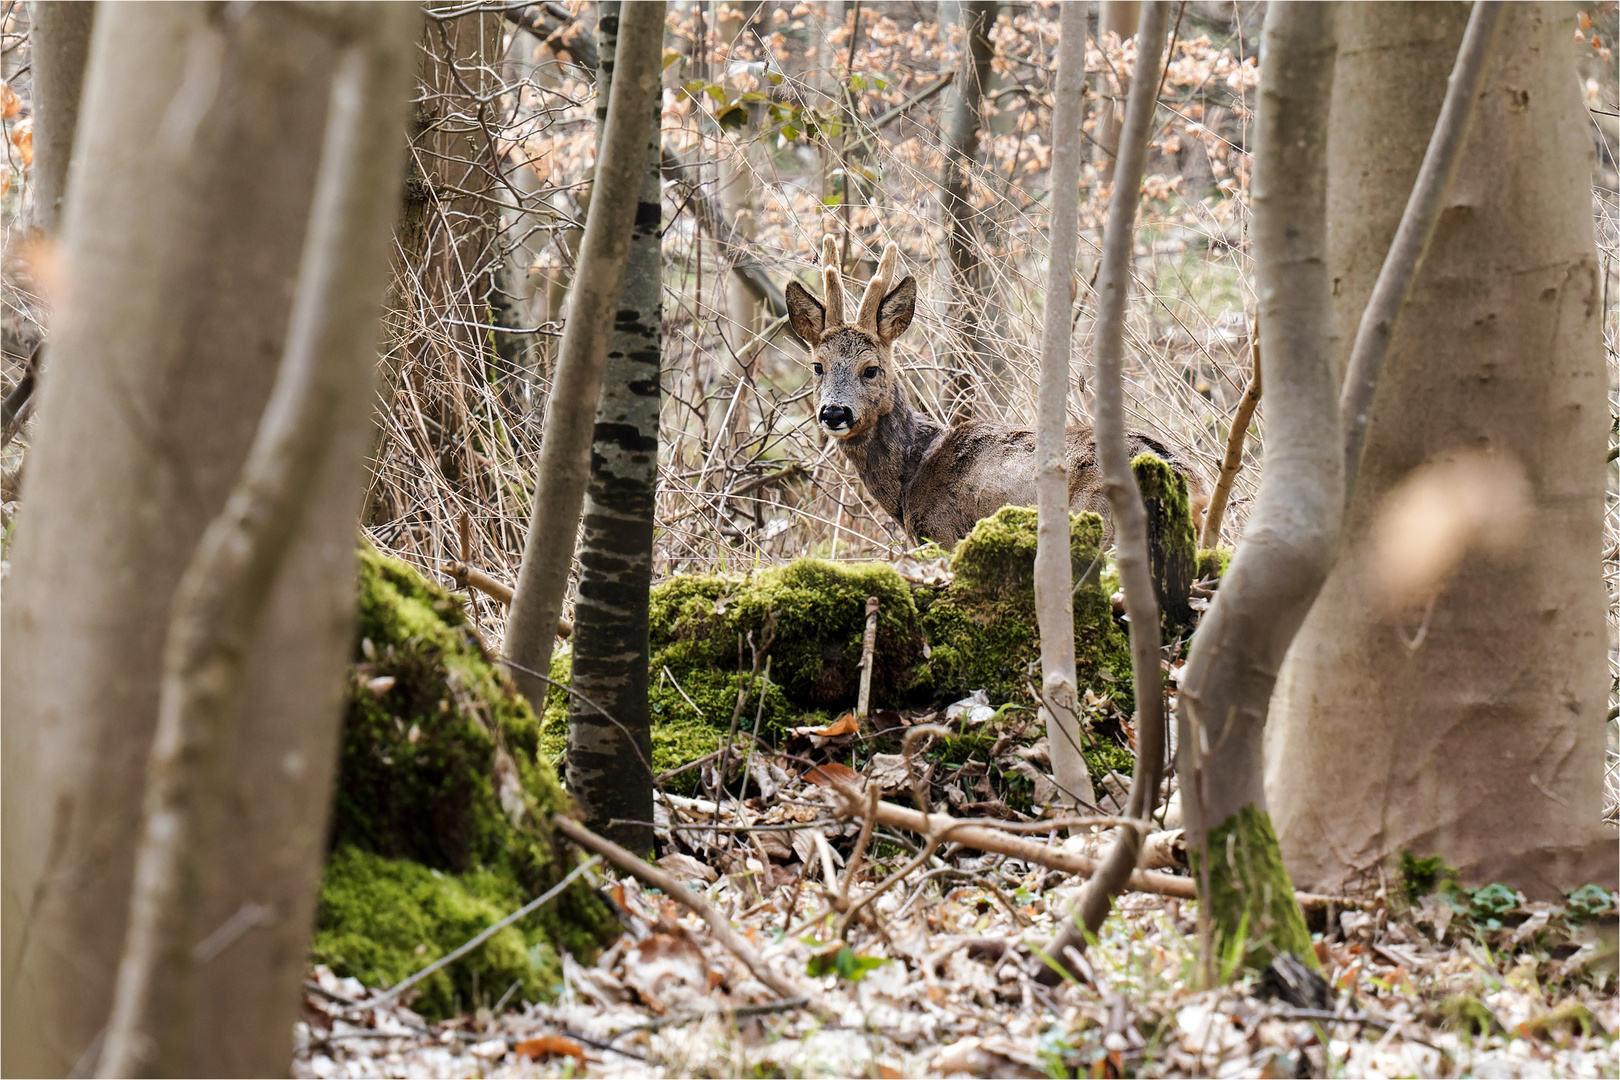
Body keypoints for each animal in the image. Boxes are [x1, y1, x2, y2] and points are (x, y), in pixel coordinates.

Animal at [784, 241, 1205, 553]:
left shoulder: (944, 535)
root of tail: (1192, 483)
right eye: (817, 365)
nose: (834, 412)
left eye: (870, 368)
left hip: (1099, 523)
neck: (912, 473)